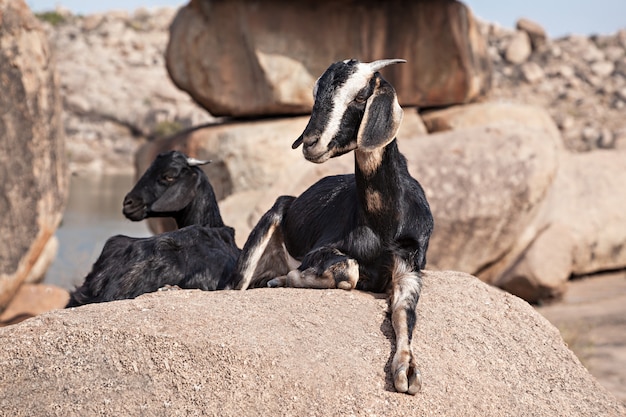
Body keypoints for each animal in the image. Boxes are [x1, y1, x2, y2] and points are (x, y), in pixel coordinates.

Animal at [232, 58, 432, 394]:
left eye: (360, 96)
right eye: (316, 96)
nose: (310, 143)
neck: (382, 224)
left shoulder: (410, 265)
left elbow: (405, 313)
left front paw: (408, 369)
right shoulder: (321, 250)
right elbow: (349, 270)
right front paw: (287, 279)